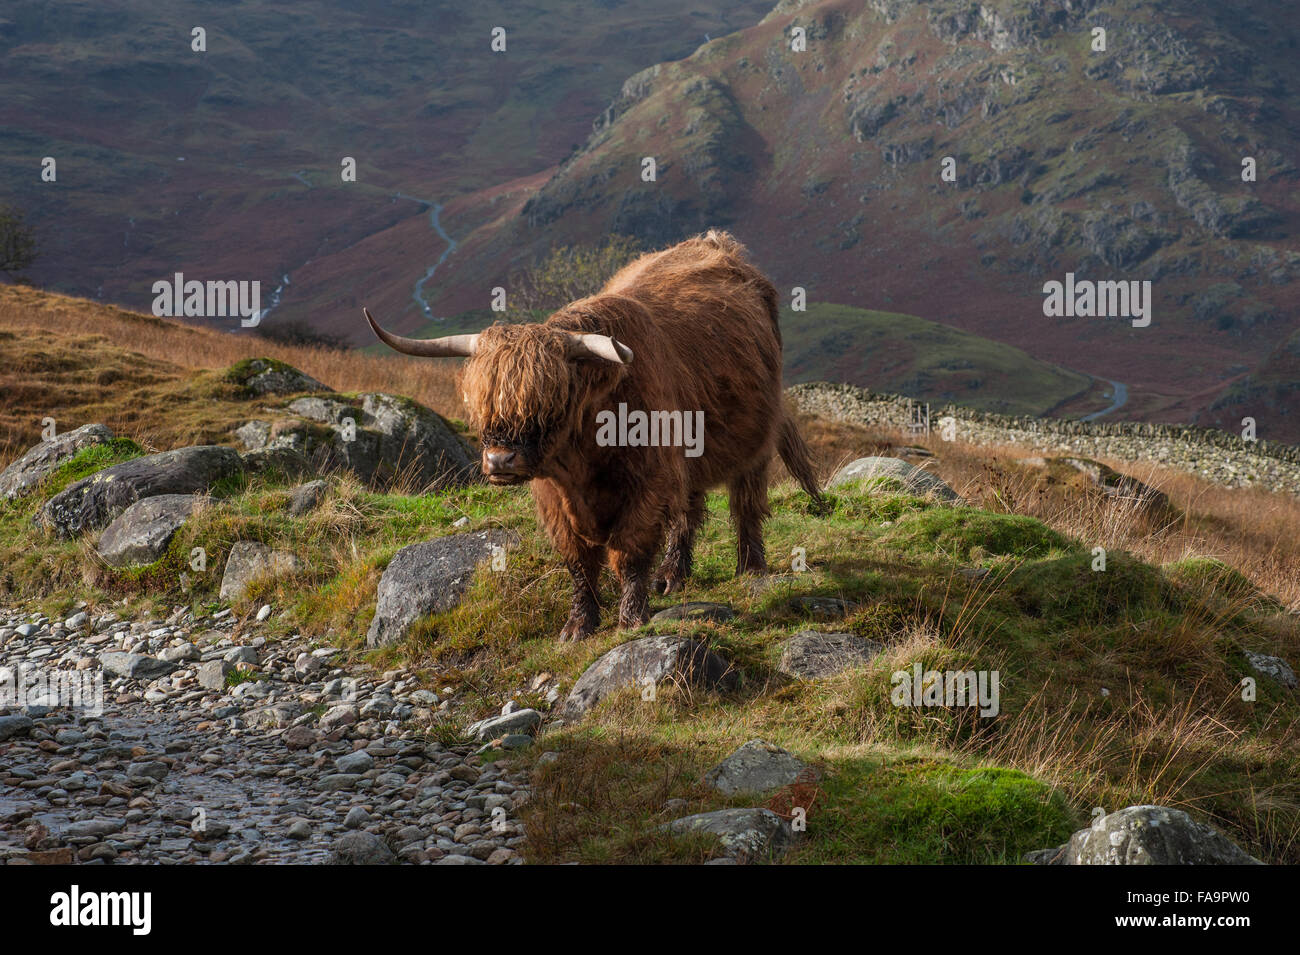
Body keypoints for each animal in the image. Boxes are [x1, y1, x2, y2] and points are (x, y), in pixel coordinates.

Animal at [364, 229, 826, 640]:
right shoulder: (555, 498)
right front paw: (578, 626)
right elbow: (579, 561)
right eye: (481, 406)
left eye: (550, 405)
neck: (584, 459)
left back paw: (750, 567)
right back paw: (672, 576)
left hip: (755, 438)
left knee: (745, 500)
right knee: (689, 510)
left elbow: (629, 552)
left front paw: (630, 618)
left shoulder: (649, 482)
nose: (499, 461)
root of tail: (718, 243)